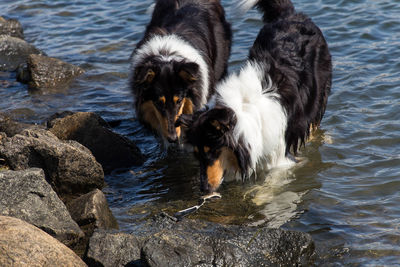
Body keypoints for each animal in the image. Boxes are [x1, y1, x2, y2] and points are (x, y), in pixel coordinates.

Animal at [177, 0, 332, 194]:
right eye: (197, 155)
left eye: (212, 152)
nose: (204, 189)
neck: (244, 114)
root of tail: (291, 15)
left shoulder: (280, 161)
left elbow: (265, 188)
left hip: (318, 98)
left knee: (314, 123)